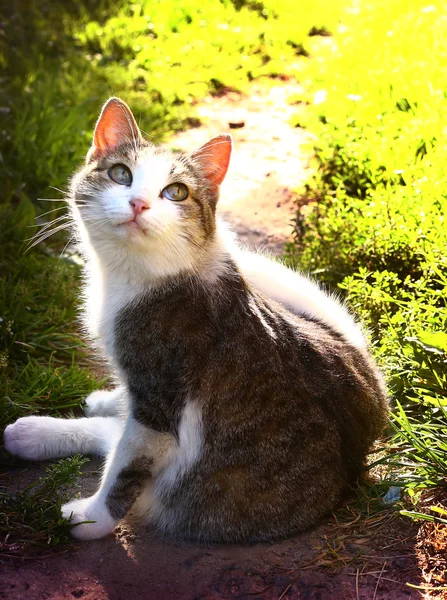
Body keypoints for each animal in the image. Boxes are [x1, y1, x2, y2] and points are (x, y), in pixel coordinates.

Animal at [2, 99, 388, 544]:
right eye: (121, 174)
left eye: (176, 192)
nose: (139, 203)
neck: (139, 275)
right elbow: (122, 452)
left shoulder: (159, 403)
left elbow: (125, 469)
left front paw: (91, 520)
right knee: (113, 431)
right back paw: (39, 429)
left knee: (123, 445)